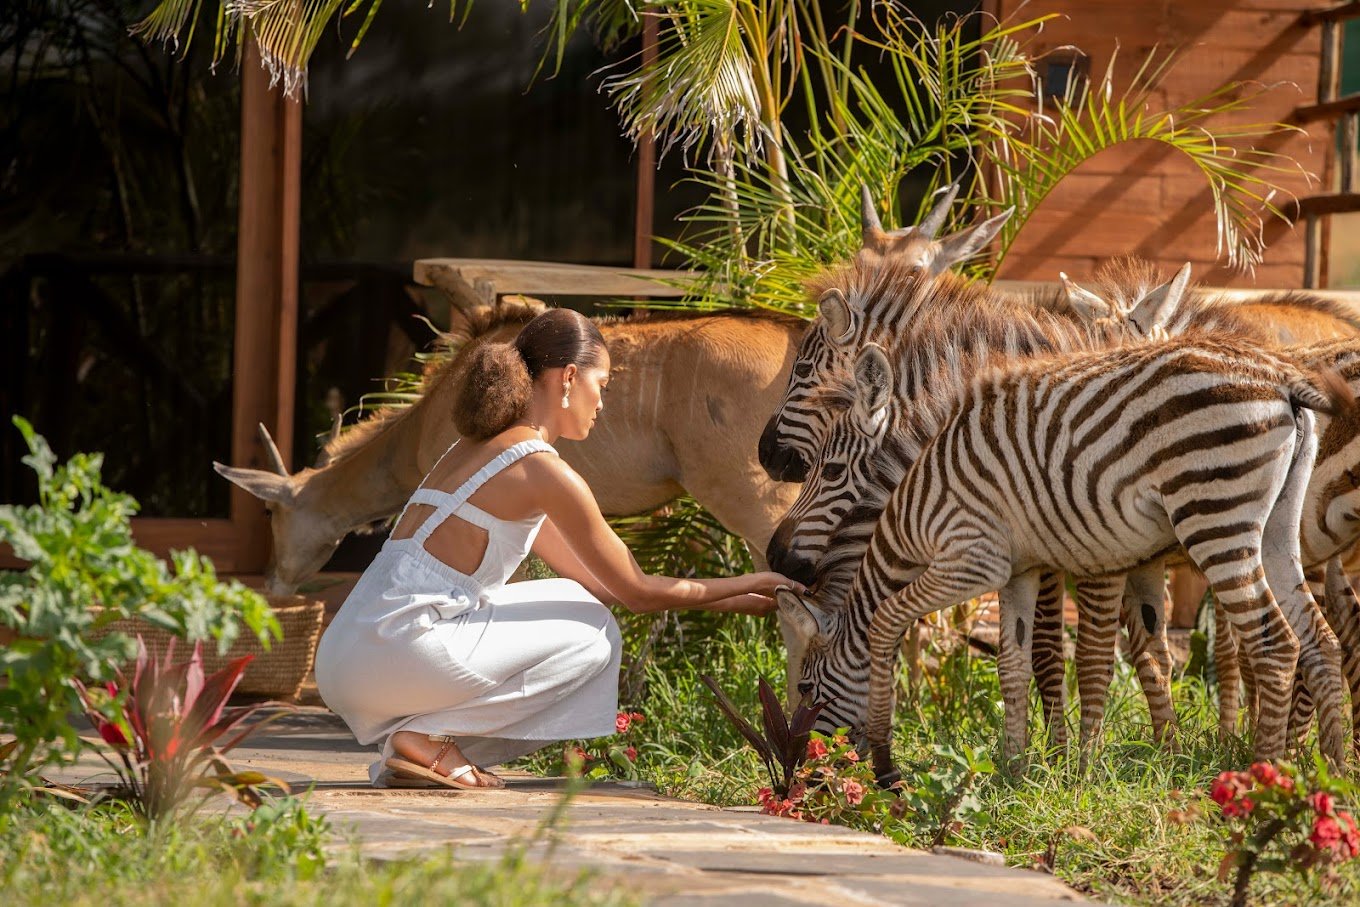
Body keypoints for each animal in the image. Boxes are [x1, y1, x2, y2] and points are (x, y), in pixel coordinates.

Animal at [777, 337, 1349, 777]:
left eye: (805, 687)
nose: (799, 769)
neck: (913, 508)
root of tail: (1281, 377)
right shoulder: (1018, 571)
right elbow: (1012, 663)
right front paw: (1012, 768)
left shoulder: (972, 559)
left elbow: (885, 622)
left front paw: (884, 760)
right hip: (1277, 530)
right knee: (1321, 640)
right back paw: (1332, 771)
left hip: (1214, 516)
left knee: (1276, 645)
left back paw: (1260, 772)